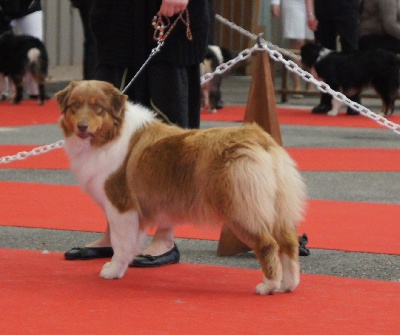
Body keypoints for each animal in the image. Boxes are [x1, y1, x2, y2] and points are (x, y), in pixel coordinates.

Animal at [55, 80, 306, 296]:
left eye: (98, 108)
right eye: (75, 106)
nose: (82, 127)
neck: (111, 135)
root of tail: (259, 138)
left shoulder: (120, 205)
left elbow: (120, 242)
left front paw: (113, 270)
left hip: (241, 209)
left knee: (268, 244)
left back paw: (269, 286)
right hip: (276, 207)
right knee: (289, 243)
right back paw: (289, 284)